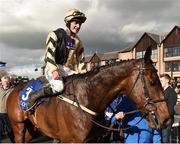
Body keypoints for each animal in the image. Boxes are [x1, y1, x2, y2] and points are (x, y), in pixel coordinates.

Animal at [6, 47, 170, 143]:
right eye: (153, 82)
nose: (167, 118)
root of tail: (14, 89)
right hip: (18, 126)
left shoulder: (94, 139)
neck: (87, 99)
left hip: (31, 129)